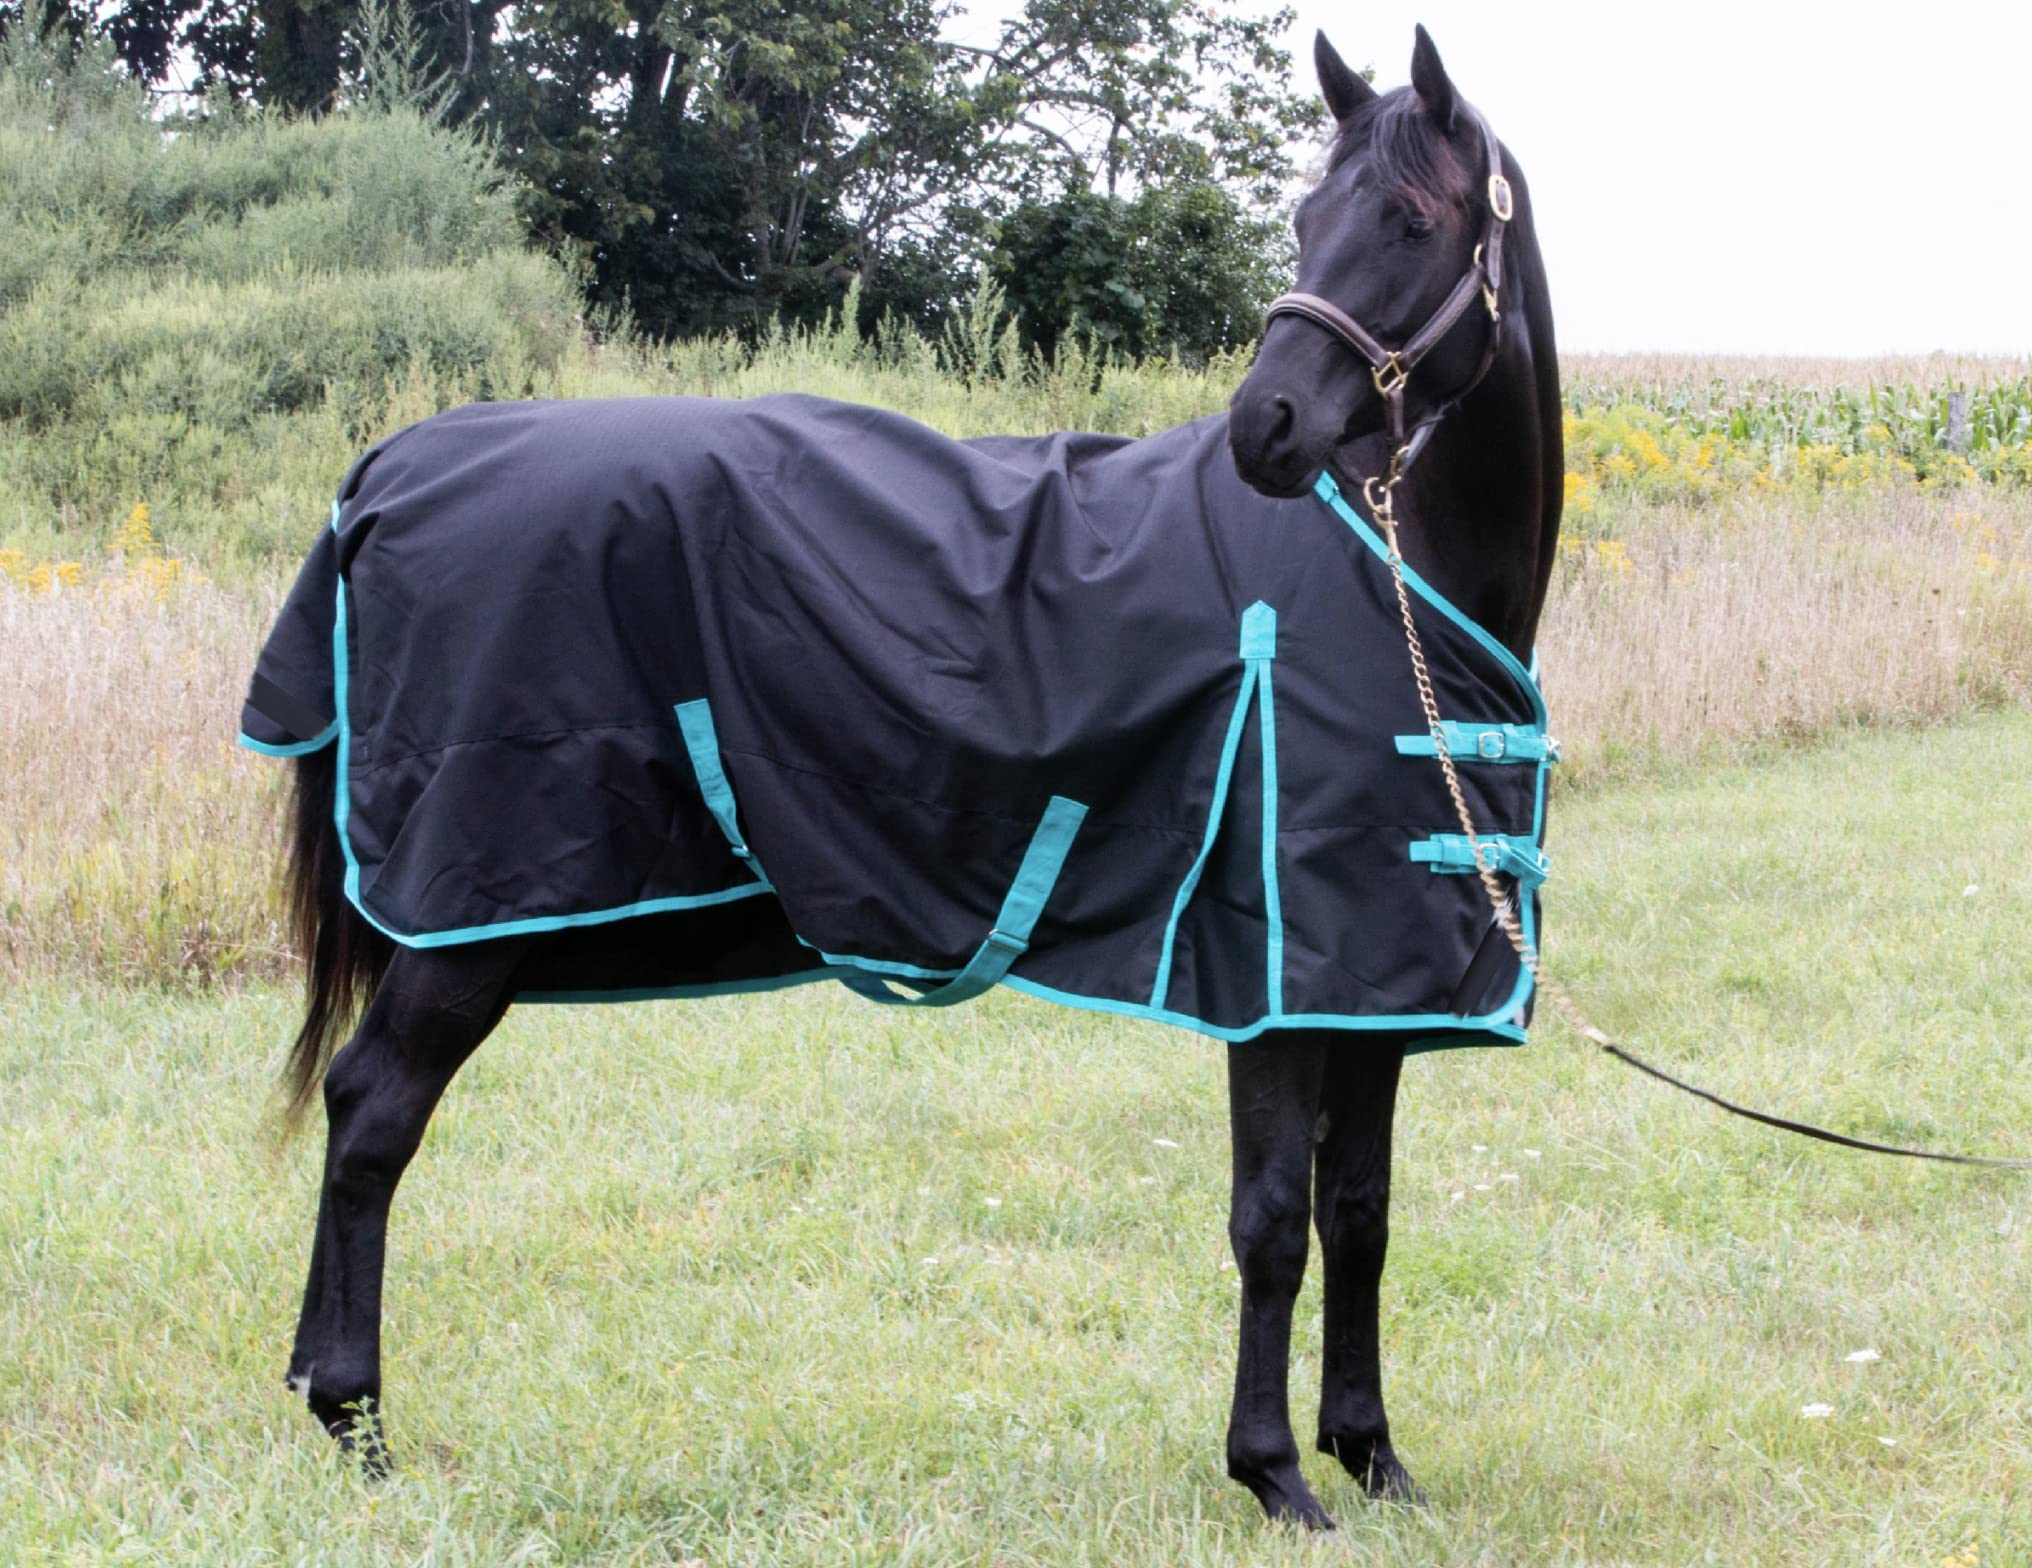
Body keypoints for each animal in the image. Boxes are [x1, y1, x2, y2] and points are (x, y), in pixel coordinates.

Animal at [252, 26, 1560, 1530]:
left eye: (1407, 220)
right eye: (1301, 219)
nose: (1264, 428)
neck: (1390, 573)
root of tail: (390, 466)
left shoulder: (1372, 990)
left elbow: (1362, 1211)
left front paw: (1372, 1452)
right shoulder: (1277, 987)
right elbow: (1273, 1221)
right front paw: (1276, 1473)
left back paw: (321, 1393)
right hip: (467, 913)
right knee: (371, 1114)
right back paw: (357, 1422)